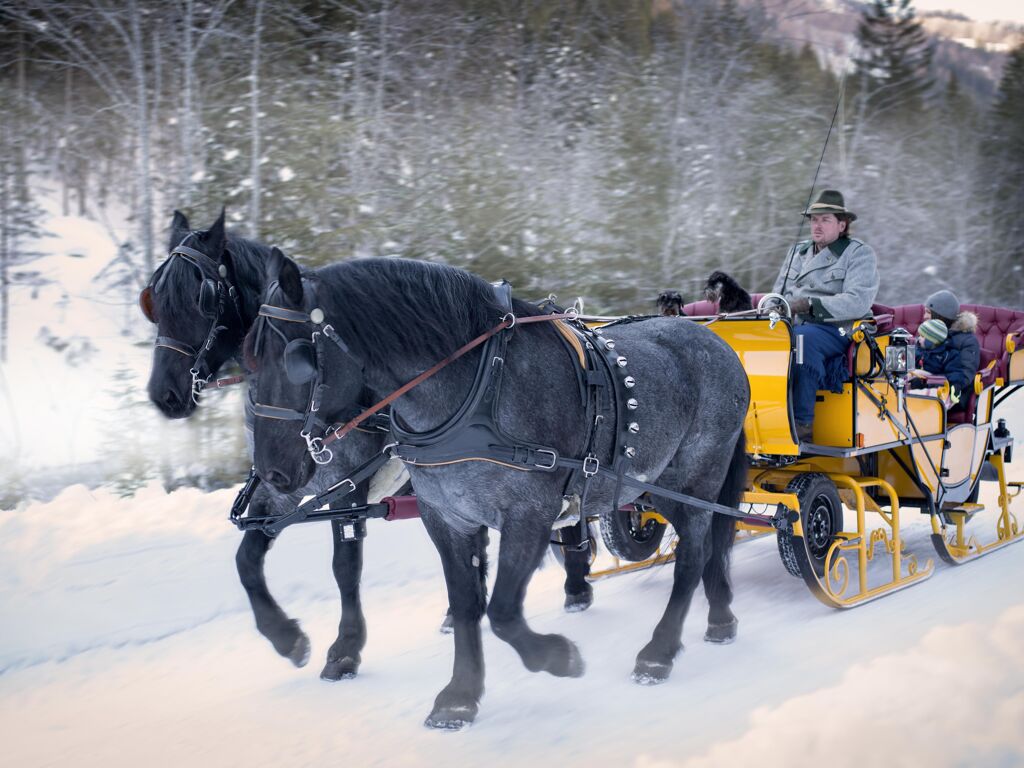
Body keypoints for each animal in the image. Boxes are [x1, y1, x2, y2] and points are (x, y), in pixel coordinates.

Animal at [243, 253, 749, 733]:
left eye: (296, 359)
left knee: (693, 552)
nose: (272, 470)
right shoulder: (446, 517)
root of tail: (717, 344)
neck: (477, 389)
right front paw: (459, 698)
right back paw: (719, 617)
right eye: (251, 360)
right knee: (706, 543)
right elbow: (468, 604)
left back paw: (658, 653)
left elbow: (502, 610)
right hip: (656, 486)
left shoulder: (529, 513)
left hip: (695, 474)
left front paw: (558, 657)